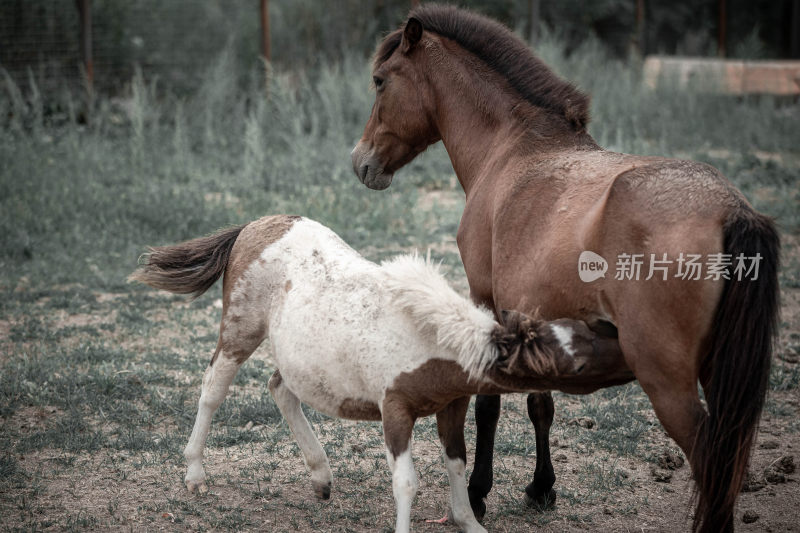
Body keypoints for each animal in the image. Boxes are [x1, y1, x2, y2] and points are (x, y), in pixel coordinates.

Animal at [133, 215, 632, 532]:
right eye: (582, 356)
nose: (629, 345)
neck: (432, 337)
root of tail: (257, 226)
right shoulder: (395, 411)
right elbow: (406, 484)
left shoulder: (452, 406)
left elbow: (456, 463)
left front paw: (469, 522)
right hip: (240, 330)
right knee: (213, 388)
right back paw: (195, 473)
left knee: (280, 388)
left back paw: (321, 476)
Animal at [354, 5, 780, 532]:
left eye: (380, 81)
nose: (361, 162)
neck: (514, 147)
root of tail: (731, 211)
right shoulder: (536, 313)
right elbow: (541, 403)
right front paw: (541, 488)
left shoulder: (486, 299)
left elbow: (490, 403)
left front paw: (477, 493)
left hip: (668, 381)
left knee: (708, 459)